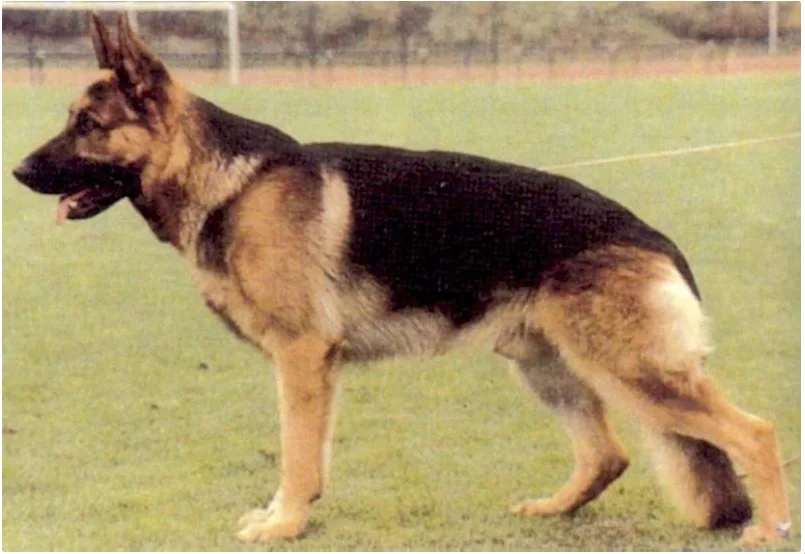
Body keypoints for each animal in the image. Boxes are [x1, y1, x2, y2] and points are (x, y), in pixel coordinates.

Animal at [13, 14, 790, 545]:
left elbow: (297, 456)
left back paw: (769, 528)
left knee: (756, 432)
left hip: (631, 374)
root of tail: (656, 238)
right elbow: (309, 457)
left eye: (87, 124)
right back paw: (550, 510)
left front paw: (283, 523)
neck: (227, 182)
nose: (18, 171)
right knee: (609, 455)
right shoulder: (311, 368)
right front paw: (290, 515)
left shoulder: (302, 359)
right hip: (551, 371)